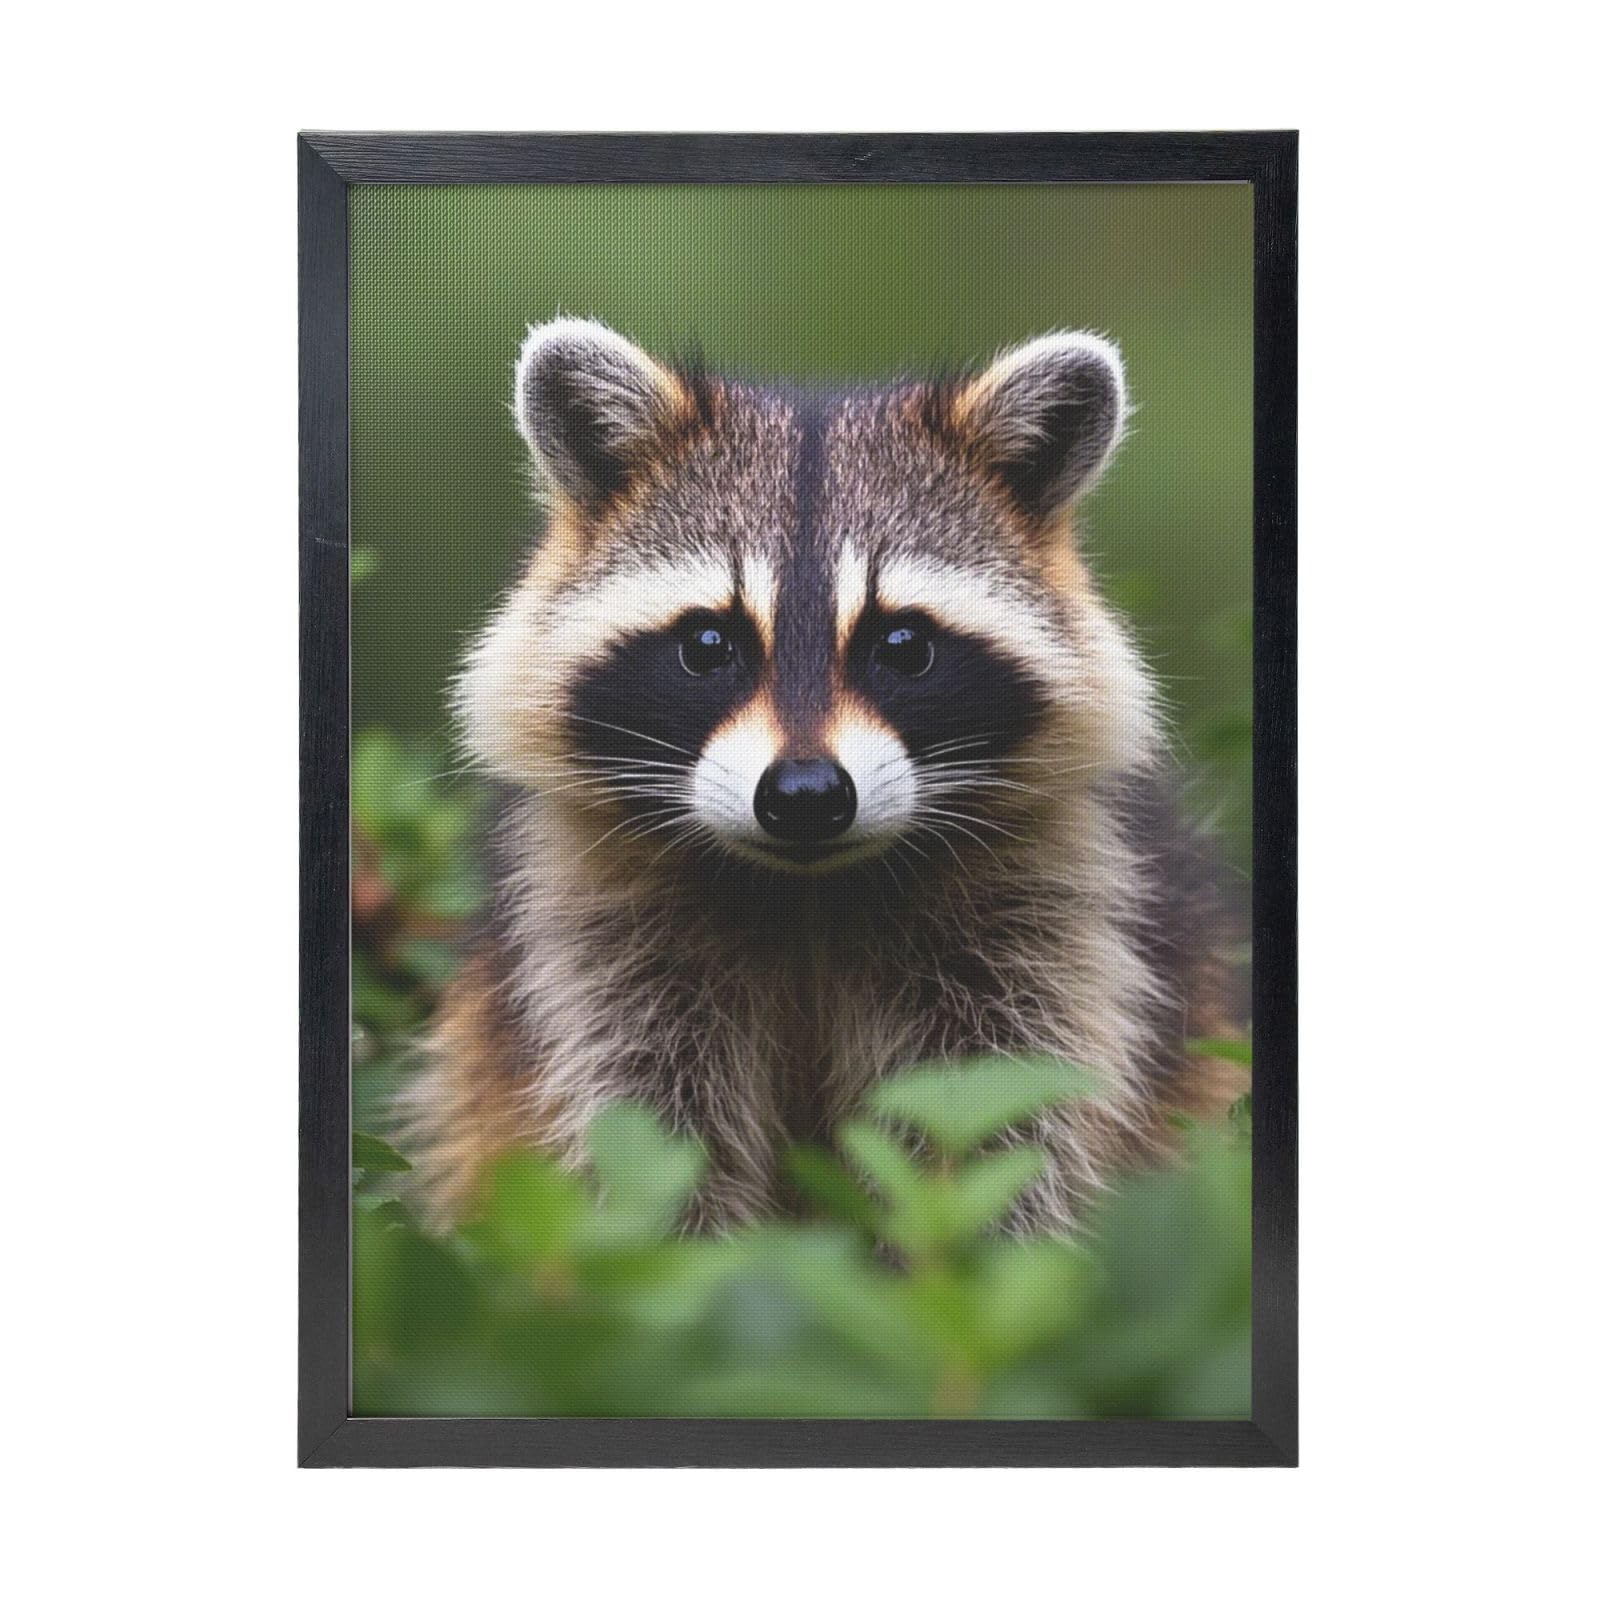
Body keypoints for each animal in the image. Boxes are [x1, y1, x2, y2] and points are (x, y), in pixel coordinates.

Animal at [409, 318, 1245, 1232]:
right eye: (709, 644)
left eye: (903, 646)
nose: (804, 797)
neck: (806, 890)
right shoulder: (591, 933)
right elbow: (644, 1135)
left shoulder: (1055, 916)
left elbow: (1003, 1125)